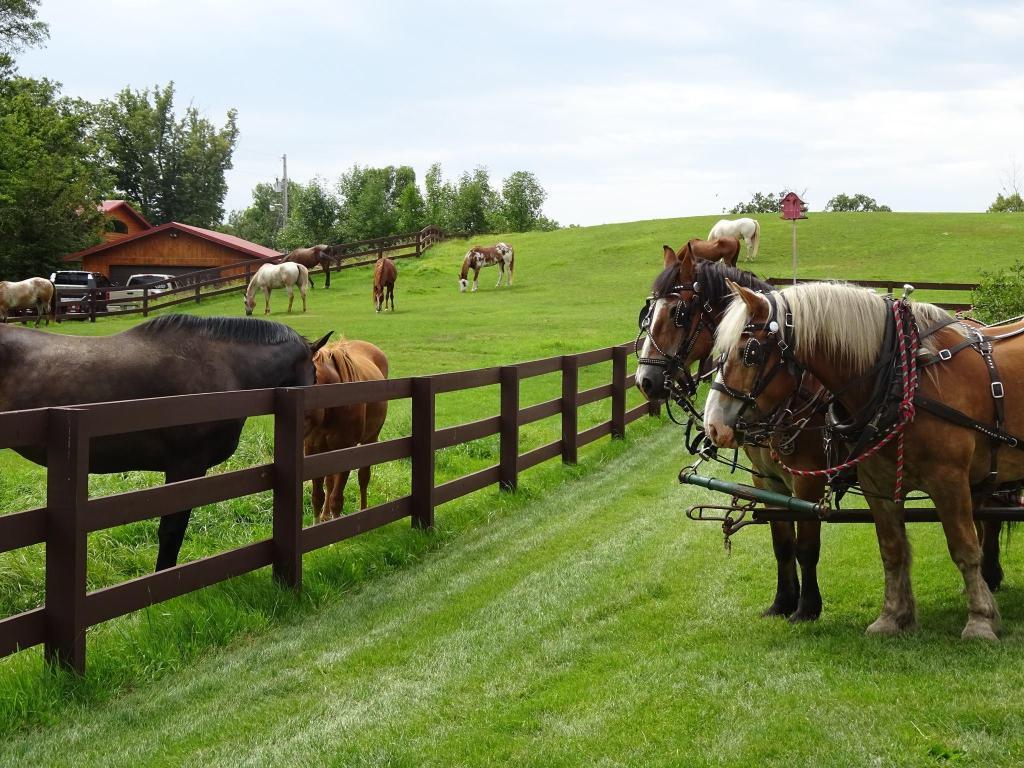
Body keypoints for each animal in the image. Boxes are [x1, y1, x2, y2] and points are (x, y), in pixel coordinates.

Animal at [304, 340, 389, 521]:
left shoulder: (346, 449)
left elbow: (337, 498)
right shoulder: (313, 449)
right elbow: (317, 497)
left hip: (370, 439)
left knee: (363, 477)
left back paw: (363, 510)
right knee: (330, 481)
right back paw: (325, 516)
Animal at [634, 246, 825, 620]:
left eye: (678, 313)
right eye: (648, 312)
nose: (644, 381)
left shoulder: (808, 483)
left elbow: (807, 546)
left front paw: (807, 608)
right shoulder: (767, 479)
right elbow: (783, 543)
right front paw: (783, 602)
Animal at [705, 281, 1024, 640]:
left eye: (750, 352)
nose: (713, 425)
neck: (903, 380)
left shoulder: (949, 481)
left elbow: (964, 548)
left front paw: (980, 620)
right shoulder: (876, 485)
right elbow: (891, 549)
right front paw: (893, 617)